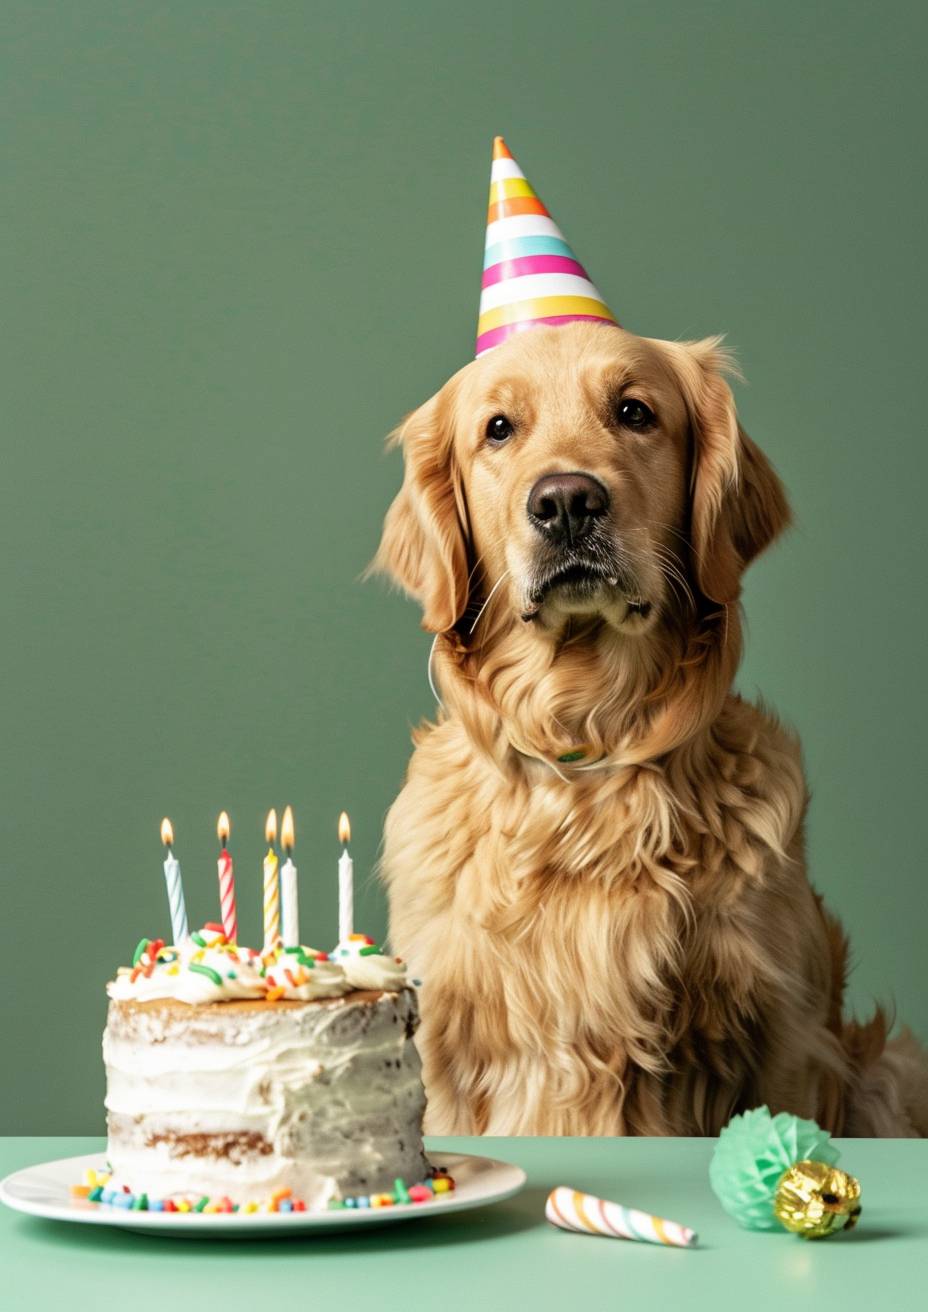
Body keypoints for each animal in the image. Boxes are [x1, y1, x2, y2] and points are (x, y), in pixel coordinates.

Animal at [372, 320, 928, 1138]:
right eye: (498, 429)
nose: (566, 502)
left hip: (891, 1073)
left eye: (635, 412)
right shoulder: (447, 1043)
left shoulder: (784, 1040)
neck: (589, 737)